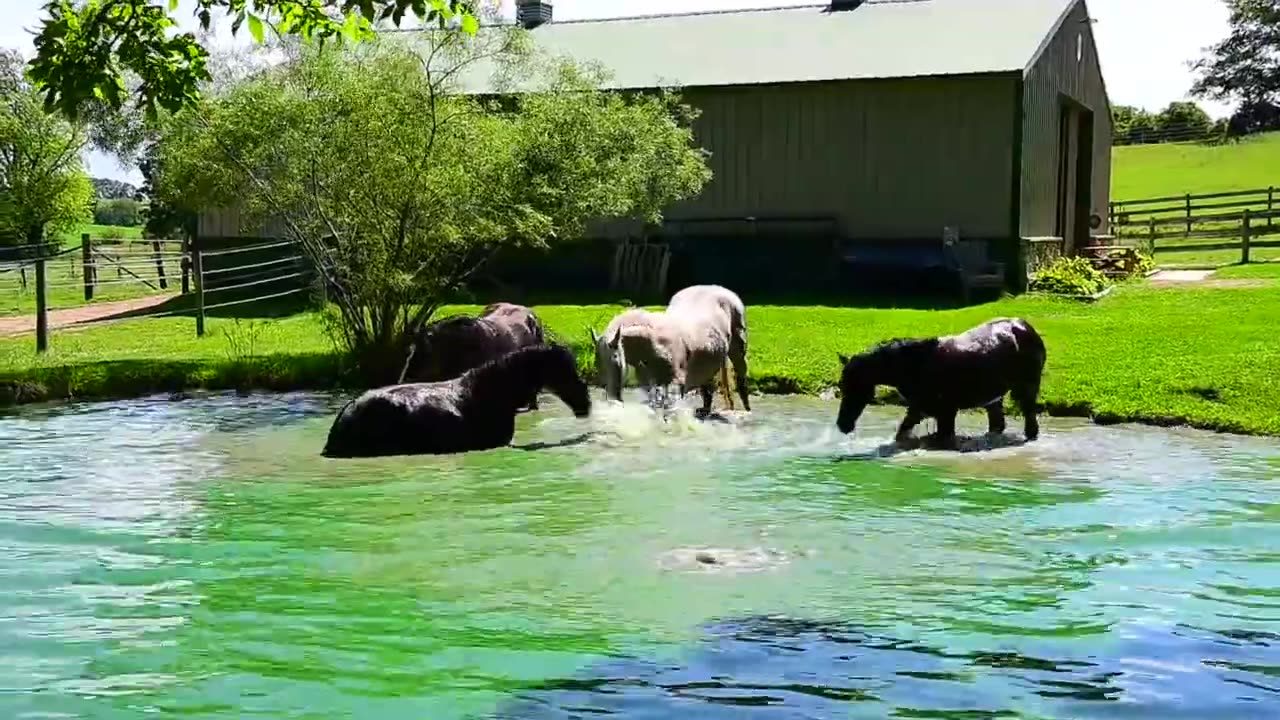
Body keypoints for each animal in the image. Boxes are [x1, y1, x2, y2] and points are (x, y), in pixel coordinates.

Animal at [588, 281, 747, 415]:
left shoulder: (677, 381)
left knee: (741, 378)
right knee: (707, 386)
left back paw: (746, 410)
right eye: (598, 364)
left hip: (738, 347)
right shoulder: (649, 382)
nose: (613, 400)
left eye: (615, 358)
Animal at [834, 315, 1044, 445]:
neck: (913, 364)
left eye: (854, 385)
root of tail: (1025, 326)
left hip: (1027, 388)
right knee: (998, 424)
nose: (842, 425)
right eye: (842, 385)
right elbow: (902, 431)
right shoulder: (920, 408)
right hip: (993, 397)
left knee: (1030, 419)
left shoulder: (946, 412)